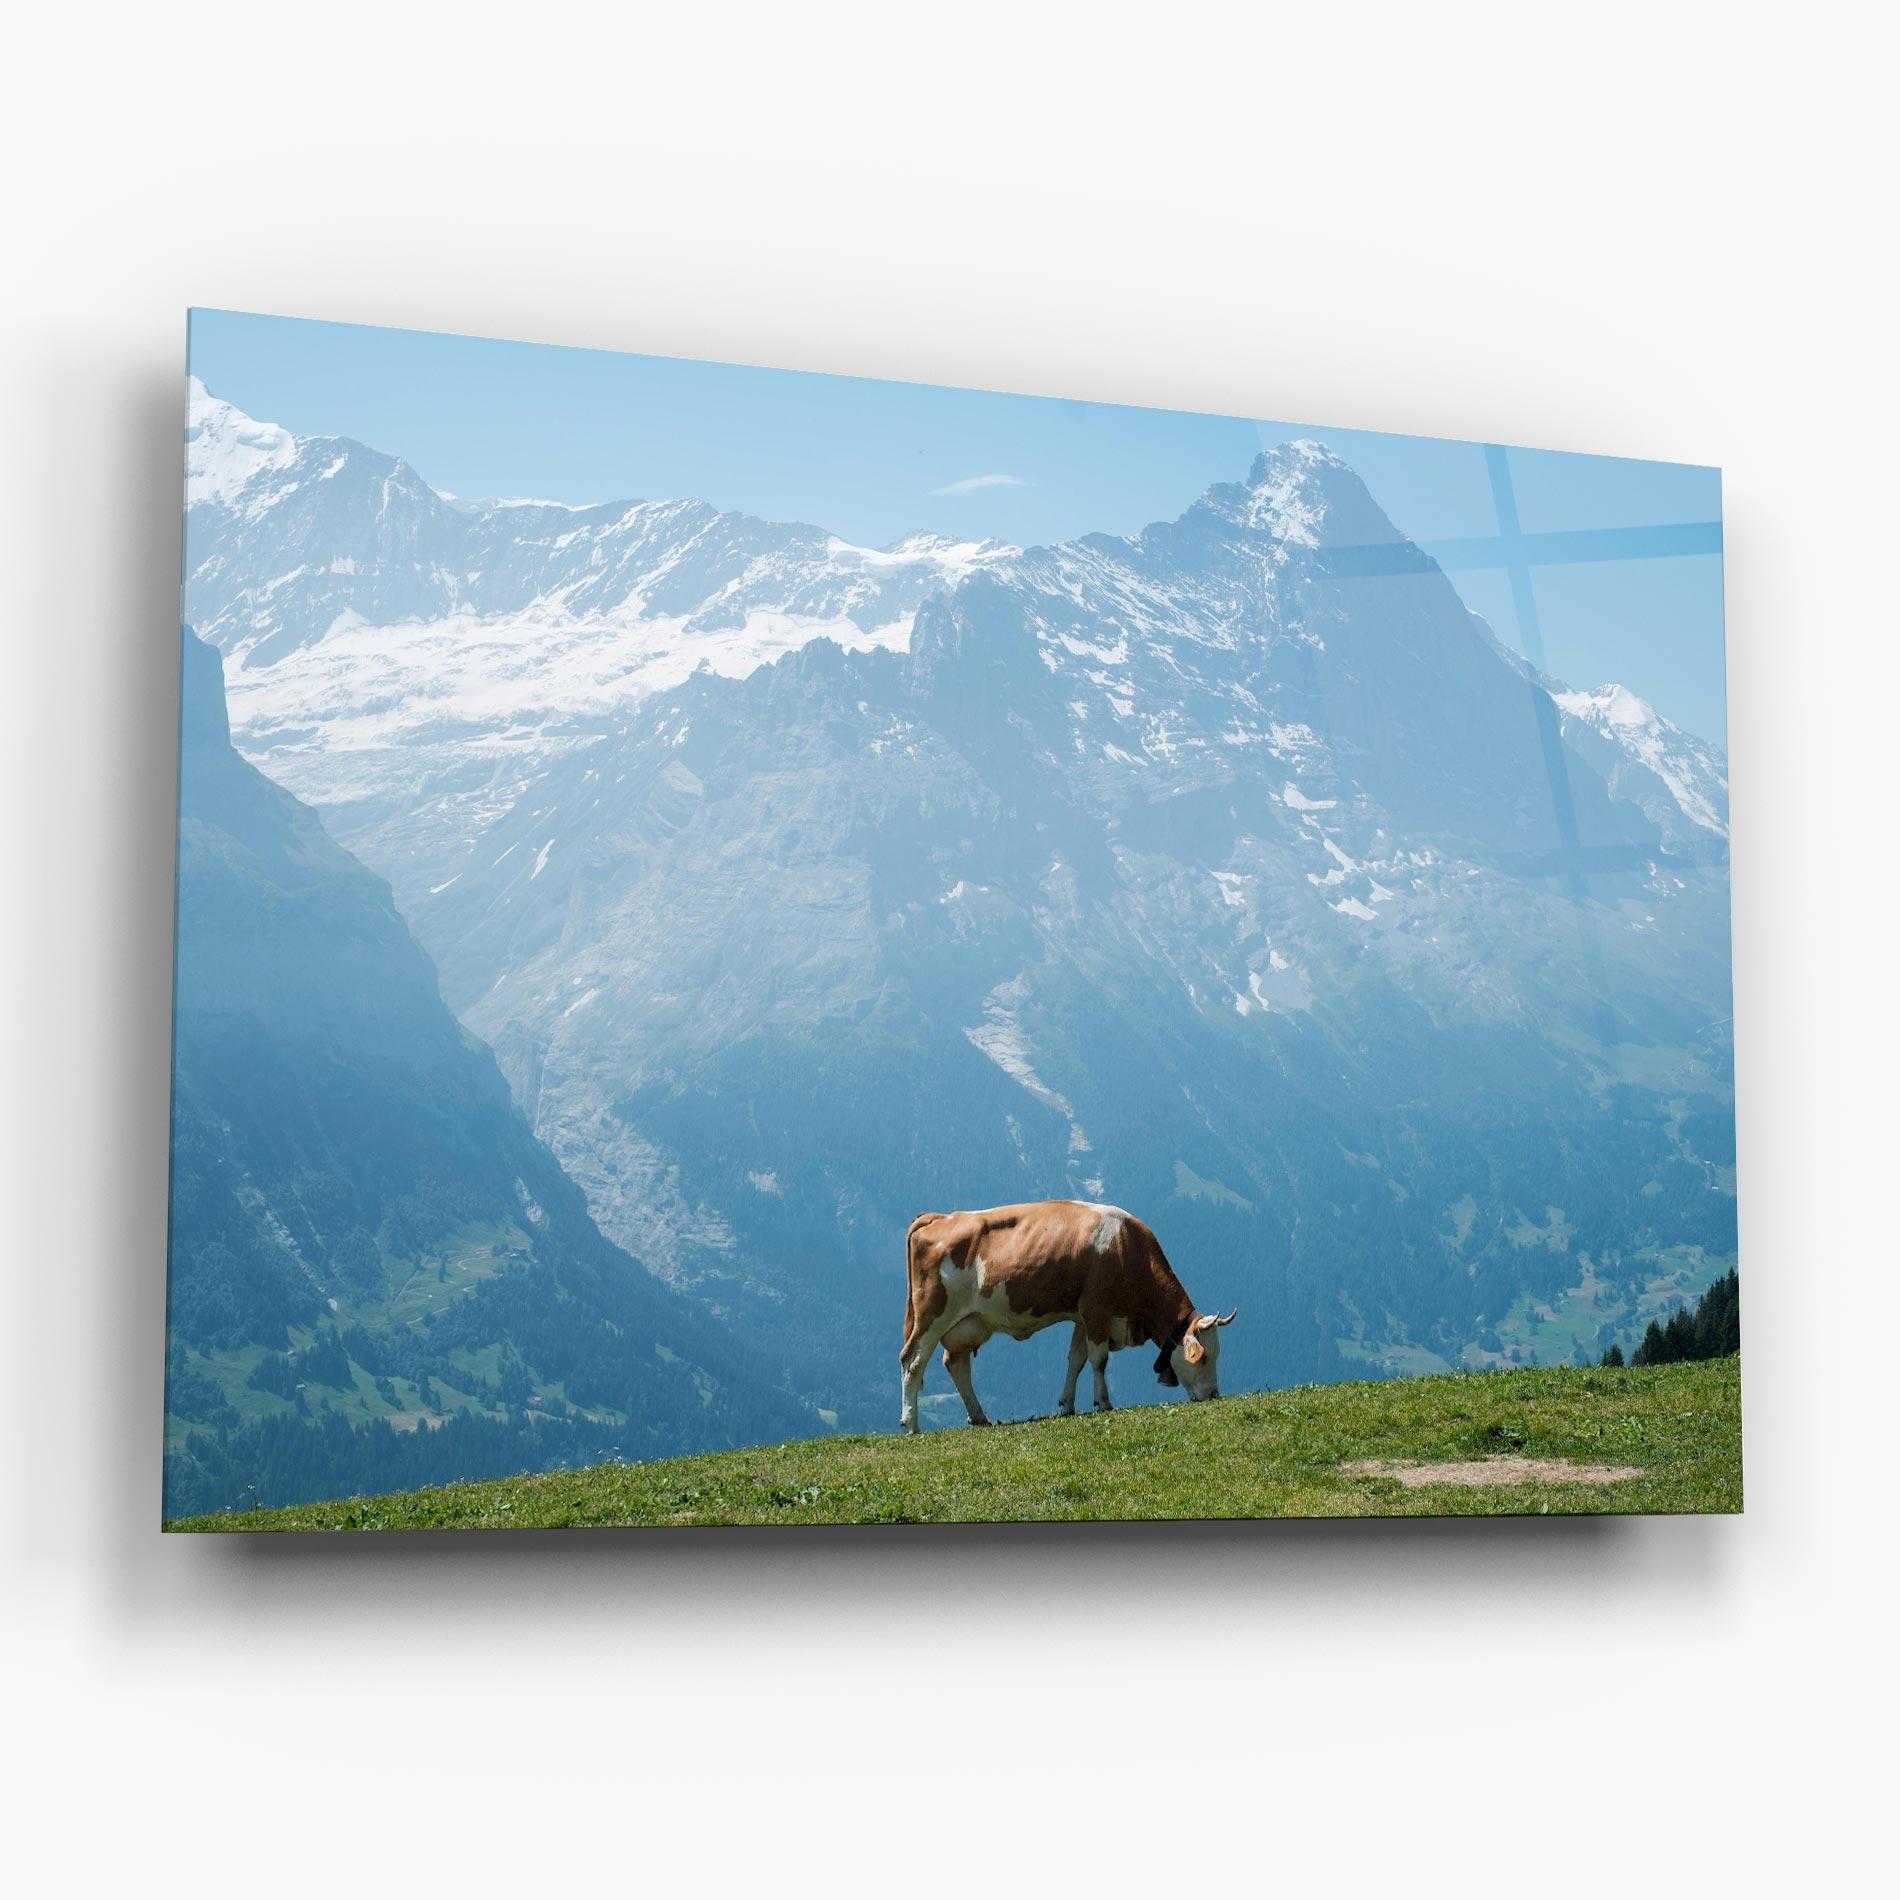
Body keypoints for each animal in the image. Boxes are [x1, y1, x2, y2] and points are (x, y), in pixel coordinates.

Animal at [898, 1200, 1236, 1432]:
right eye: (1204, 1358)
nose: (1214, 1394)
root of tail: (940, 1217)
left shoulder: (1082, 1317)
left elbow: (1076, 1360)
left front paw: (1067, 1405)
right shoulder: (1097, 1310)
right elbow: (1099, 1360)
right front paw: (1103, 1402)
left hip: (967, 1322)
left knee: (956, 1364)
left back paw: (979, 1417)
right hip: (932, 1314)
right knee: (912, 1360)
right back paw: (911, 1423)